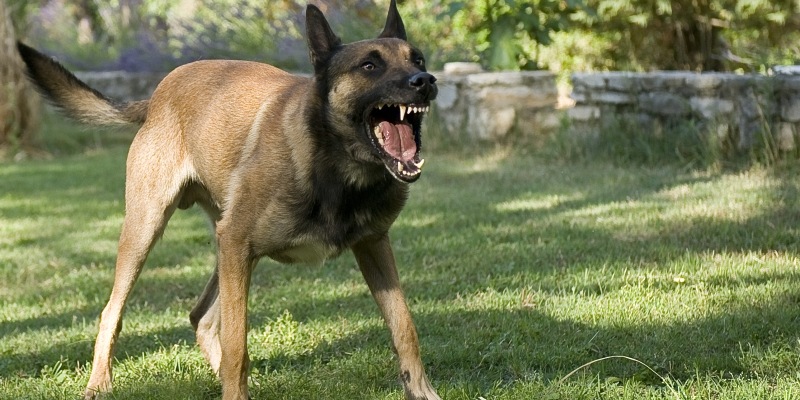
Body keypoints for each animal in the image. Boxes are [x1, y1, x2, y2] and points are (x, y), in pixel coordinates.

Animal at [15, 1, 440, 398]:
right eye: (369, 65)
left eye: (417, 59)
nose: (425, 81)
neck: (335, 167)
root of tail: (156, 95)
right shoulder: (238, 244)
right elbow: (237, 344)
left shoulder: (373, 246)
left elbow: (405, 327)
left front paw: (423, 392)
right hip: (149, 231)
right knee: (112, 312)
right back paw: (100, 382)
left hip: (226, 250)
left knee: (200, 315)